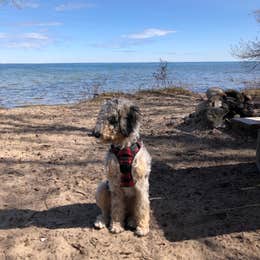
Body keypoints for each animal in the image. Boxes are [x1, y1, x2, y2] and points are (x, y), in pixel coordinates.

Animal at [92, 98, 151, 237]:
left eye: (112, 118)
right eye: (101, 116)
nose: (95, 133)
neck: (124, 148)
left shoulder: (141, 184)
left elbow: (142, 207)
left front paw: (143, 228)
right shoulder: (115, 184)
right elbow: (116, 207)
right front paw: (117, 226)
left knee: (133, 212)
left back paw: (133, 221)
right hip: (102, 188)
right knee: (106, 211)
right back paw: (101, 221)